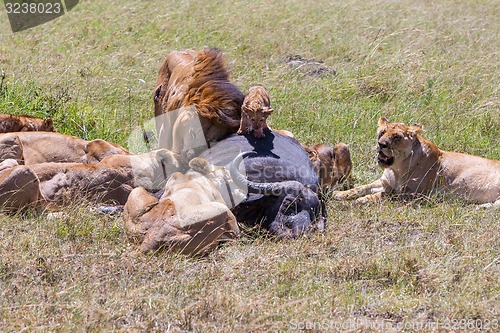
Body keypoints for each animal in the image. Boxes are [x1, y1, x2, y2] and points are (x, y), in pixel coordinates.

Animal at [332, 115, 500, 206]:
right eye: (382, 132)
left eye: (396, 137)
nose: (381, 144)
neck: (397, 168)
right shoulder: (385, 182)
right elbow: (361, 188)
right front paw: (338, 194)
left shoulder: (415, 194)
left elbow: (384, 195)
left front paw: (358, 201)